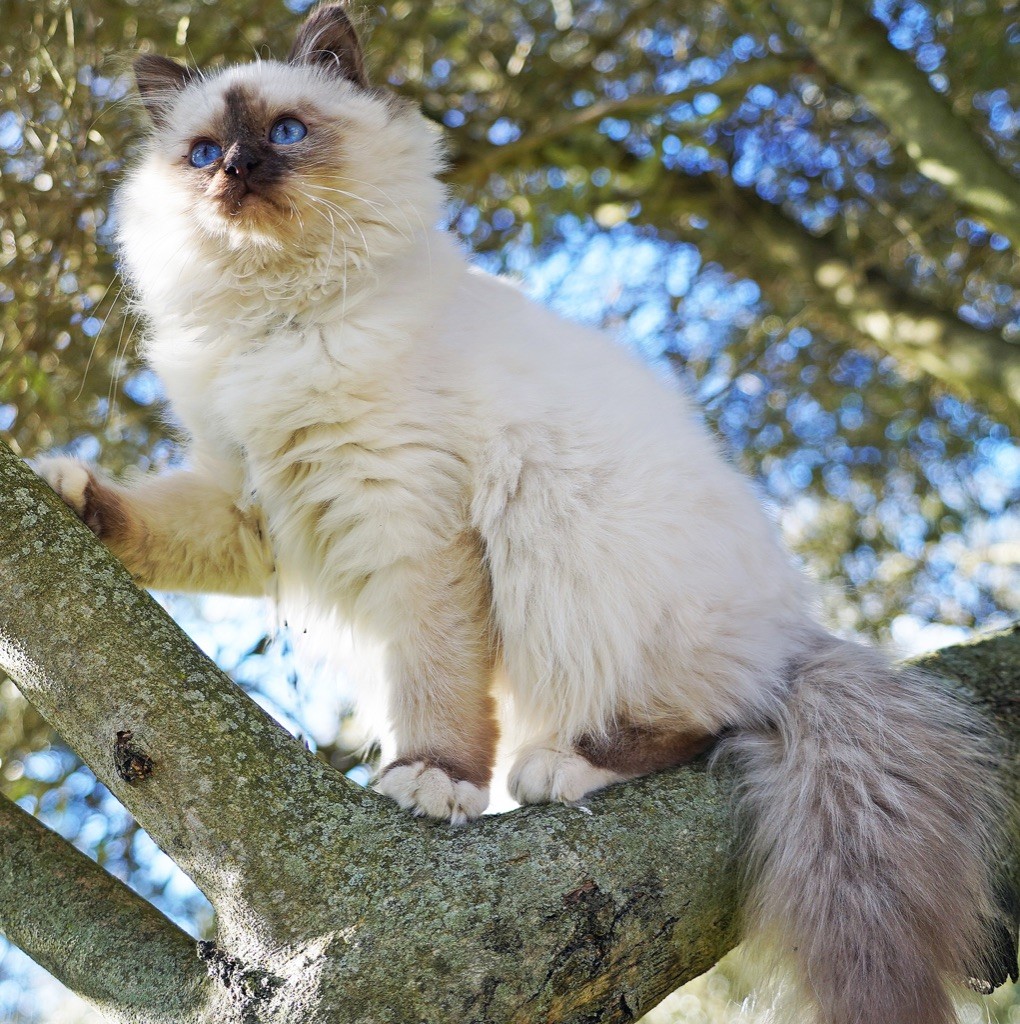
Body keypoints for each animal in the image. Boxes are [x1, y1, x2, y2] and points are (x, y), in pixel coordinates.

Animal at [33, 8, 1011, 1024]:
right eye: (201, 151)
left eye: (287, 133)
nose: (235, 170)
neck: (278, 325)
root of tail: (797, 636)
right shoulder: (247, 504)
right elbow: (151, 523)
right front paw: (64, 489)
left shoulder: (413, 524)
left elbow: (436, 684)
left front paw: (433, 781)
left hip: (570, 544)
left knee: (715, 718)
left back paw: (561, 768)